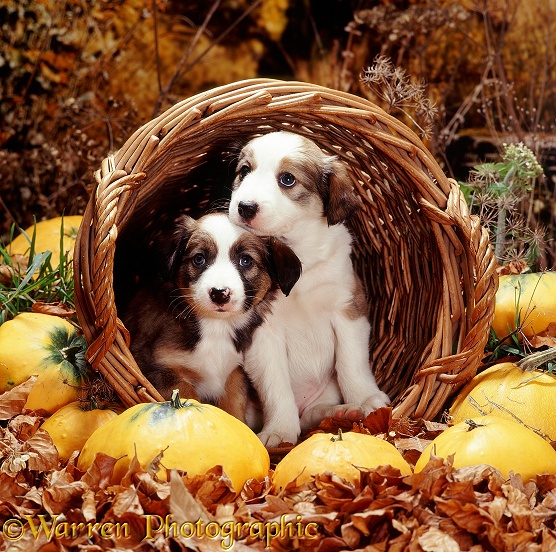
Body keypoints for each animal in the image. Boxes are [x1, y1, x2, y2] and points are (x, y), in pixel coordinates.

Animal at [122, 213, 302, 420]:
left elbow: (233, 406)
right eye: (199, 258)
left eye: (246, 261)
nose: (219, 293)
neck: (216, 327)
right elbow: (186, 394)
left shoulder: (235, 372)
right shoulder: (152, 365)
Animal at [228, 130, 388, 448]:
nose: (245, 207)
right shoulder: (263, 333)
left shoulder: (348, 310)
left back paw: (342, 412)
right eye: (244, 171)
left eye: (288, 179)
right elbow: (276, 387)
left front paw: (366, 398)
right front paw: (279, 431)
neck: (298, 255)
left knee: (315, 412)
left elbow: (352, 364)